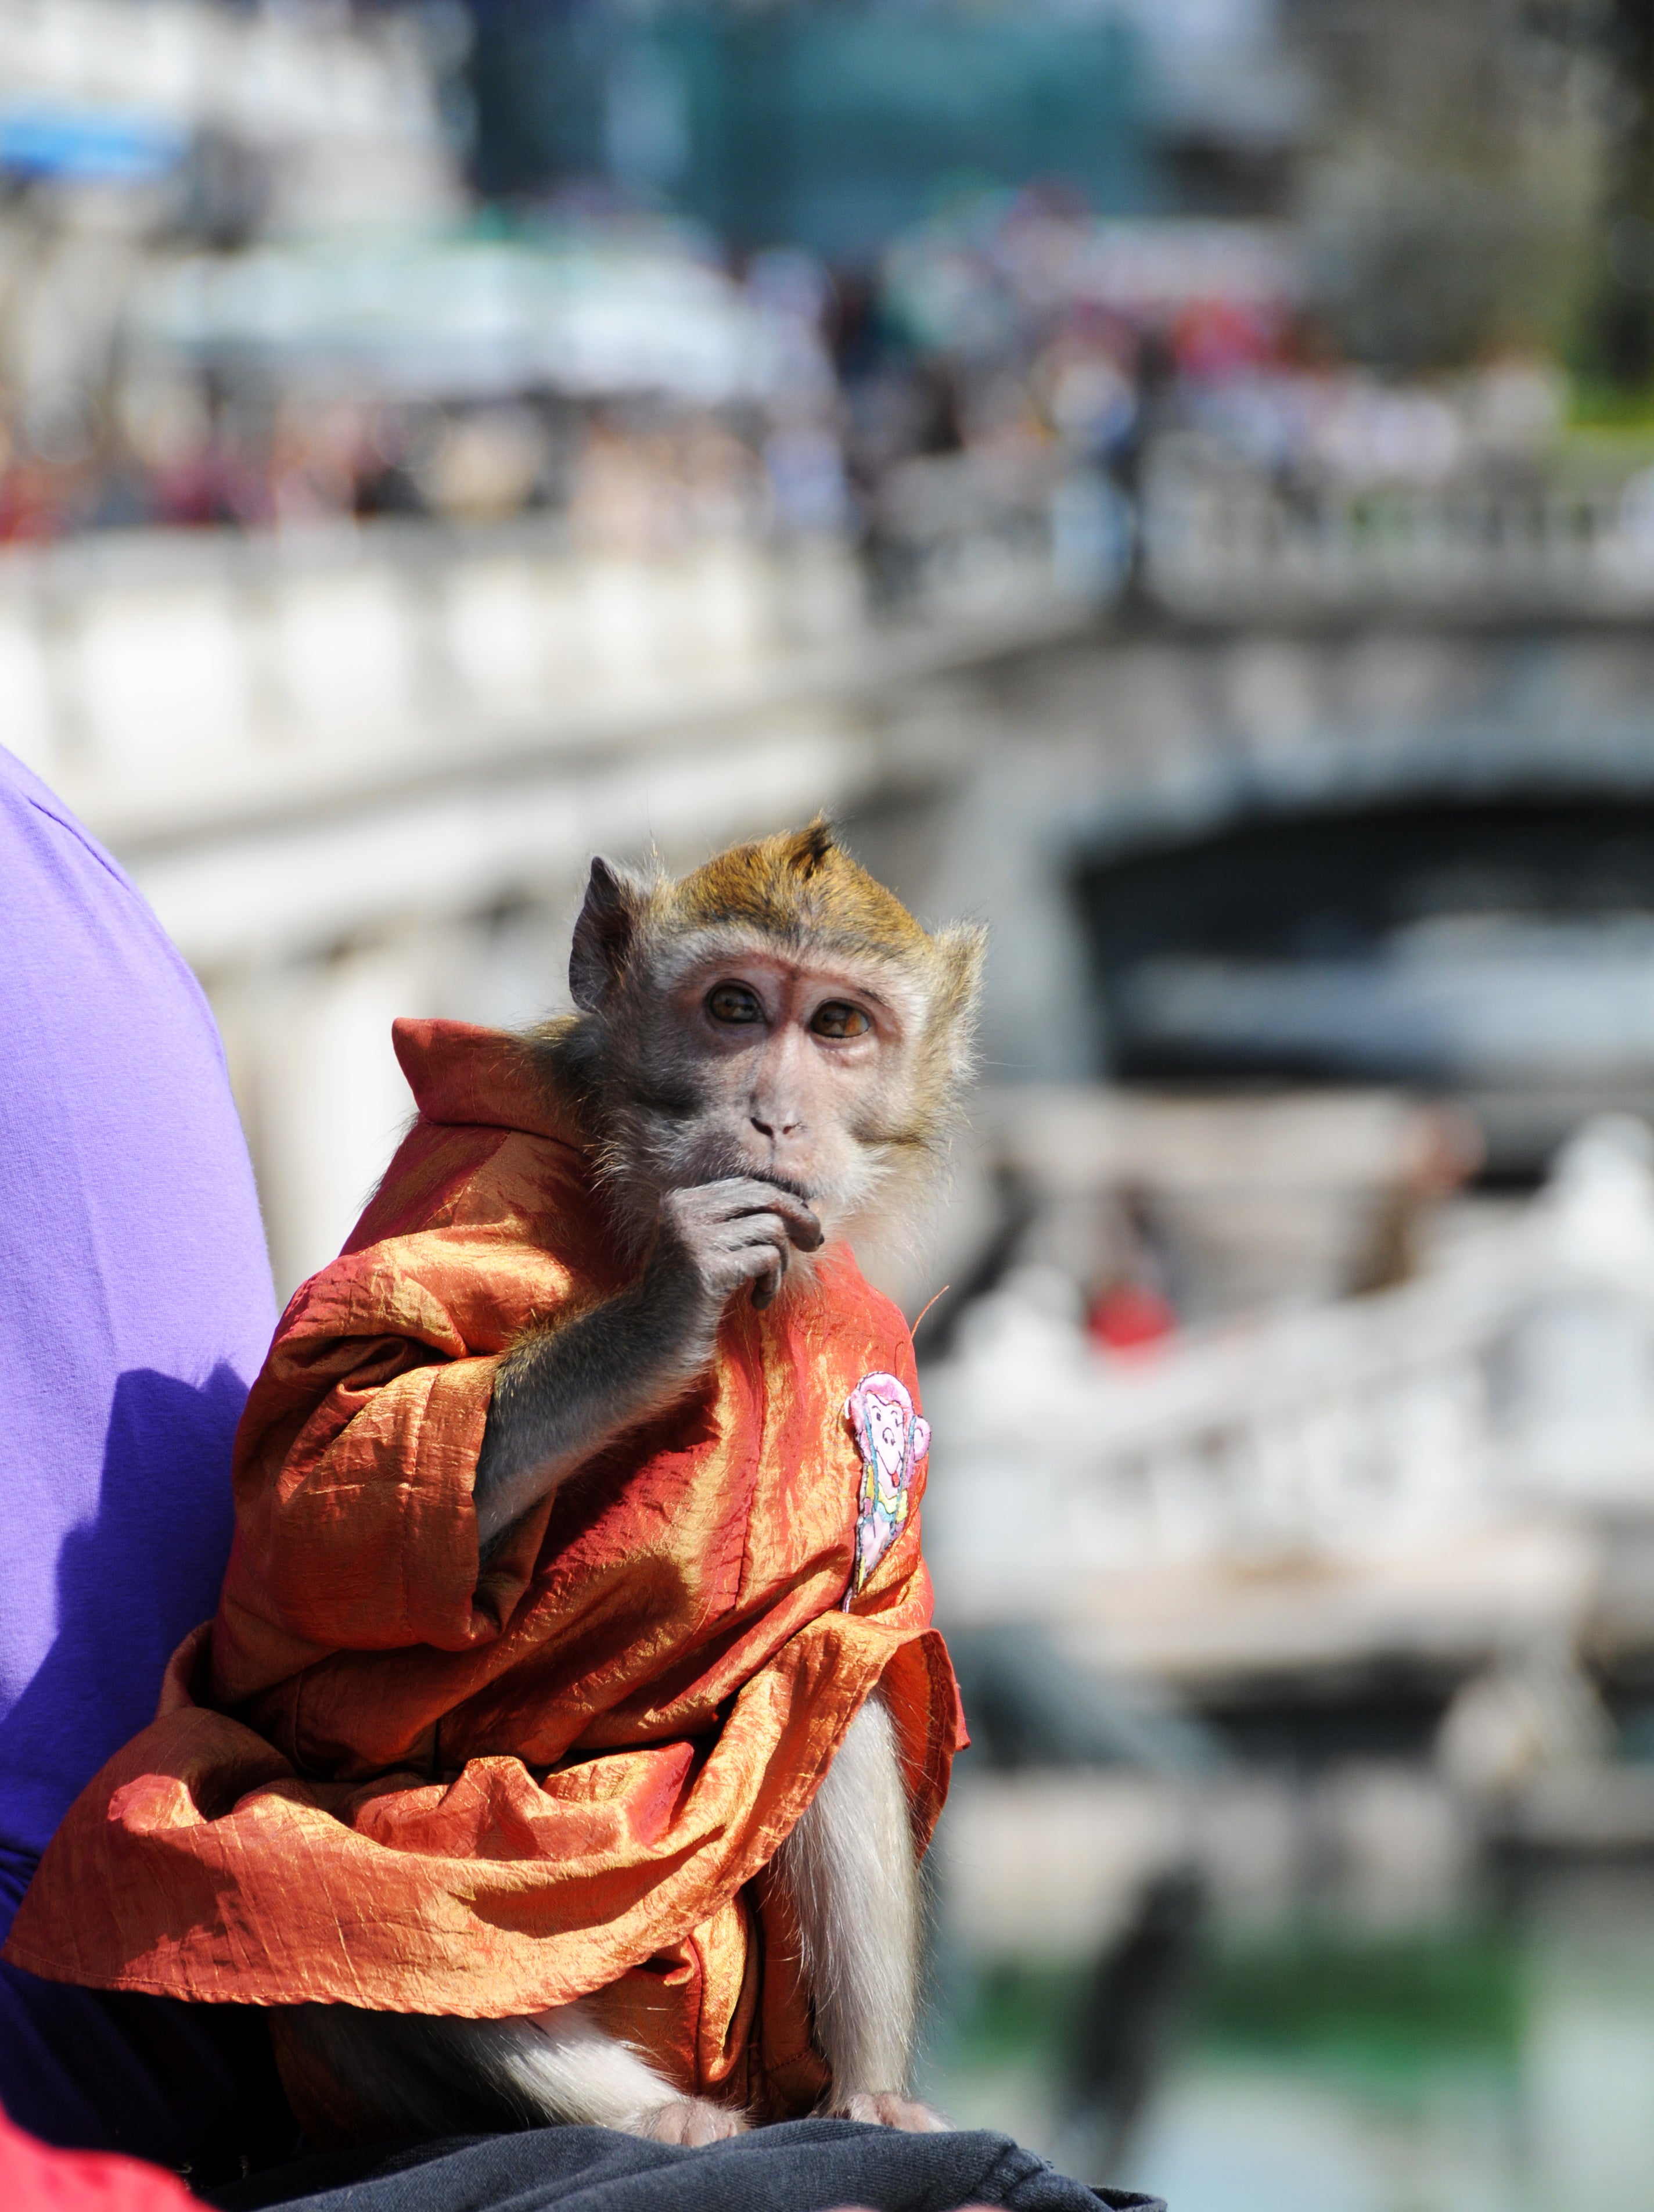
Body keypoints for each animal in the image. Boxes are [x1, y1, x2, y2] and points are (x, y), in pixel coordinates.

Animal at [0, 827, 977, 2141]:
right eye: (730, 1007)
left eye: (836, 1024)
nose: (772, 1118)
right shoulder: (464, 1192)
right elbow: (324, 1485)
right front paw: (669, 1302)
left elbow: (860, 1631)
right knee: (320, 1907)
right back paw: (659, 2118)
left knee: (827, 1673)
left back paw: (862, 2098)